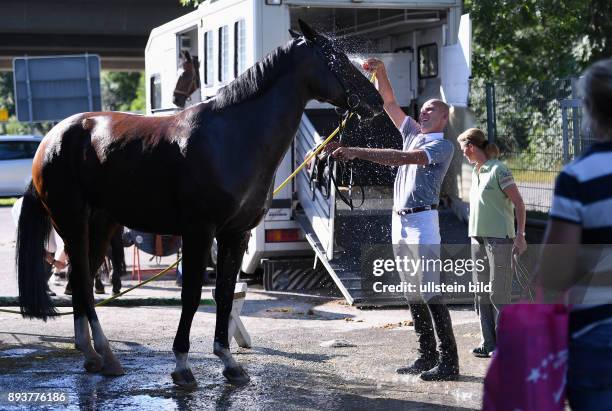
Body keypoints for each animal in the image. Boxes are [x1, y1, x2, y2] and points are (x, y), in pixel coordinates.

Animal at [15, 20, 382, 390]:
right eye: (337, 60)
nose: (376, 101)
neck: (233, 138)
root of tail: (51, 139)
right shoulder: (199, 233)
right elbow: (191, 295)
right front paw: (182, 365)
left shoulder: (236, 234)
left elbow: (224, 293)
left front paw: (229, 362)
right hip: (72, 223)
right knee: (82, 280)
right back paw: (104, 352)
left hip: (103, 226)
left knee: (84, 280)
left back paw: (93, 355)